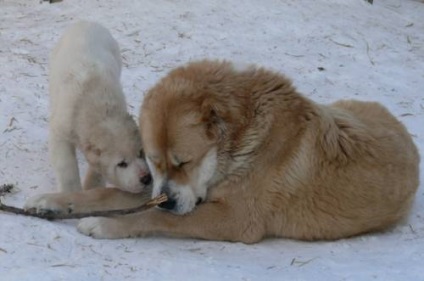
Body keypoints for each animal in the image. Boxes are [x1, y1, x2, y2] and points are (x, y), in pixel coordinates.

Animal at [27, 60, 420, 242]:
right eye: (153, 162)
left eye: (185, 161)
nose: (168, 200)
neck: (241, 145)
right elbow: (109, 194)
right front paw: (54, 202)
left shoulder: (236, 219)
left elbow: (156, 218)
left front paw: (106, 225)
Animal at [47, 21, 151, 192]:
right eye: (122, 163)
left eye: (141, 153)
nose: (146, 178)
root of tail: (86, 22)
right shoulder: (63, 127)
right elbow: (65, 162)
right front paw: (71, 191)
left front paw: (93, 186)